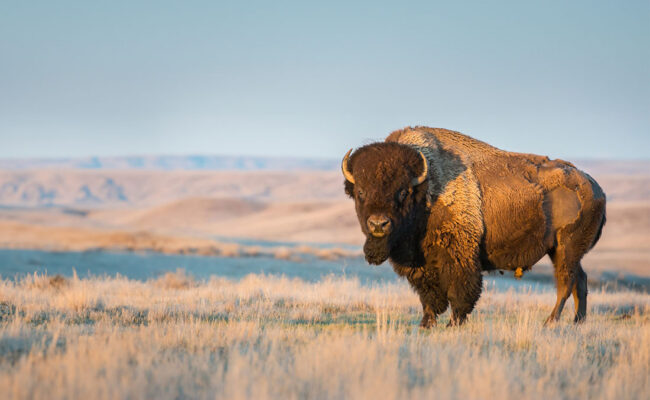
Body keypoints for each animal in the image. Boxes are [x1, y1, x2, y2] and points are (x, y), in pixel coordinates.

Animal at [342, 127, 606, 326]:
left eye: (403, 192)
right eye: (361, 192)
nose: (378, 224)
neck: (426, 188)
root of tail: (595, 188)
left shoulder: (459, 254)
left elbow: (460, 291)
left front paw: (453, 324)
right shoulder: (420, 265)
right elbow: (429, 295)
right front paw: (426, 324)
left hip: (565, 249)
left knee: (566, 282)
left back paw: (550, 321)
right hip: (563, 252)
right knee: (580, 280)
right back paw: (577, 322)